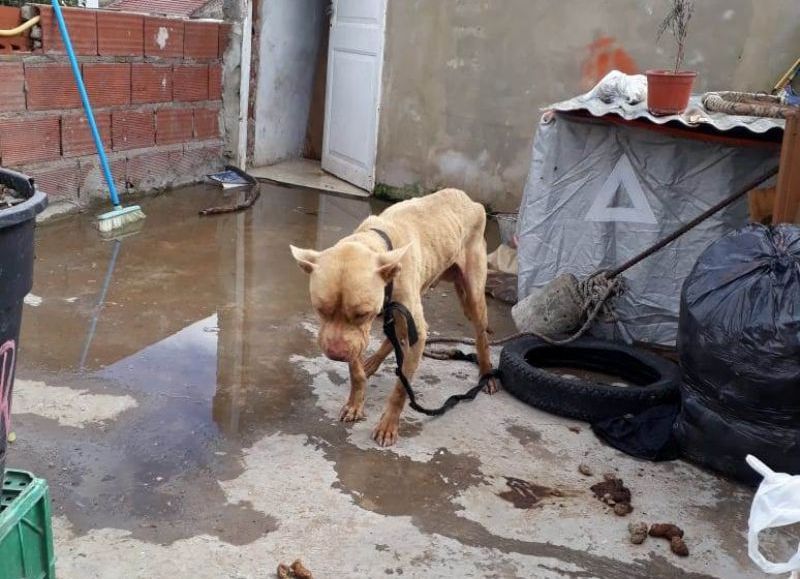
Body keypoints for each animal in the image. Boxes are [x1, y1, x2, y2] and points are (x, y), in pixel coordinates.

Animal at [290, 188, 496, 446]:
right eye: (320, 310)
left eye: (362, 314)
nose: (336, 355)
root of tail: (469, 200)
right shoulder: (356, 337)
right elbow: (356, 370)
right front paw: (355, 402)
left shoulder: (410, 332)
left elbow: (401, 388)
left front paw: (388, 425)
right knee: (396, 334)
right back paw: (372, 362)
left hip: (473, 297)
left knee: (481, 336)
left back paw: (487, 374)